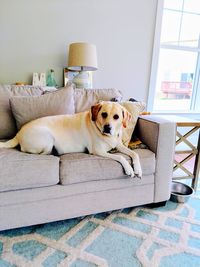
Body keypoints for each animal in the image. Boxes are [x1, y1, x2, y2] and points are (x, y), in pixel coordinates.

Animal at [0, 101, 141, 179]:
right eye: (104, 114)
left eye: (116, 117)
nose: (107, 127)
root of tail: (18, 133)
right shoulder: (98, 151)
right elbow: (120, 157)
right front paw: (129, 169)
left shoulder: (119, 145)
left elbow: (135, 154)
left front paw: (138, 169)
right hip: (47, 137)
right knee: (40, 153)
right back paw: (54, 152)